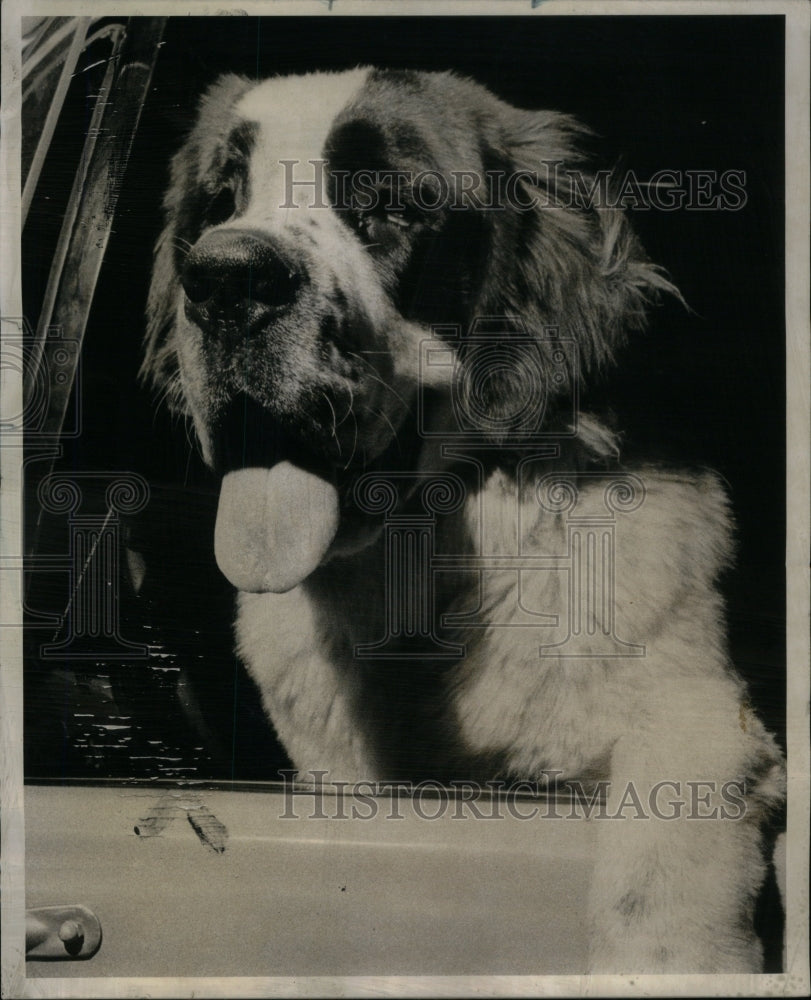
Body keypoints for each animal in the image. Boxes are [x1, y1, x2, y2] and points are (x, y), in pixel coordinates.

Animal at [144, 68, 788, 968]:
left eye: (388, 204)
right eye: (220, 202)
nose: (225, 279)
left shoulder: (696, 711)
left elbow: (665, 834)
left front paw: (662, 956)